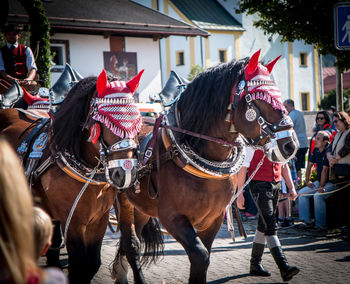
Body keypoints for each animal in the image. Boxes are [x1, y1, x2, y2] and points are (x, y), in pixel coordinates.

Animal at [0, 70, 146, 282]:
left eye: (137, 121)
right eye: (105, 121)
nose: (125, 172)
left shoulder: (99, 219)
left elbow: (93, 262)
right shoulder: (73, 222)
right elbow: (79, 265)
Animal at [112, 52, 298, 282]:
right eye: (260, 99)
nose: (291, 145)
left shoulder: (213, 219)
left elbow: (205, 257)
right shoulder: (172, 217)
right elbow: (200, 257)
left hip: (141, 206)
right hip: (123, 203)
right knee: (131, 245)